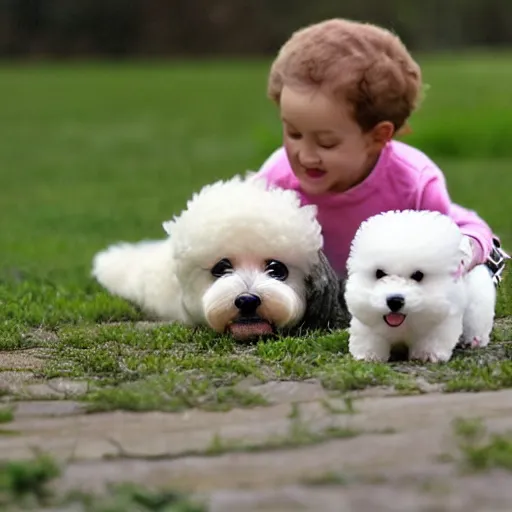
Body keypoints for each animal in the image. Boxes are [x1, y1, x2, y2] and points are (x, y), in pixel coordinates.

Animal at [344, 209, 496, 364]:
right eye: (379, 273)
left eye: (418, 275)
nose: (394, 301)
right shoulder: (367, 321)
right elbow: (371, 338)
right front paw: (369, 355)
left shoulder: (441, 320)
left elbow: (431, 340)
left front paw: (427, 355)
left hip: (477, 303)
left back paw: (474, 340)